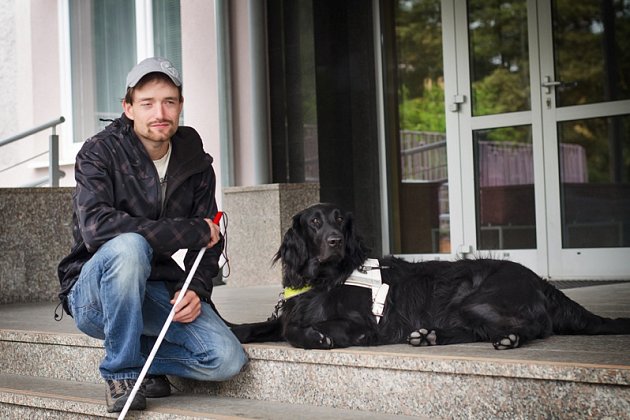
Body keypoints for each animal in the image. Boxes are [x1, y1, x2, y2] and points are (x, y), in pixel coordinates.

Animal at [232, 202, 630, 350]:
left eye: (340, 220)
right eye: (315, 221)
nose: (335, 241)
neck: (325, 279)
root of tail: (541, 281)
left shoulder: (362, 325)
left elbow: (298, 332)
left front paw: (316, 336)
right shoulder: (287, 314)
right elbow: (263, 326)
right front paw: (235, 331)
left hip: (477, 300)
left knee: (532, 327)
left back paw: (508, 339)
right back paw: (428, 335)